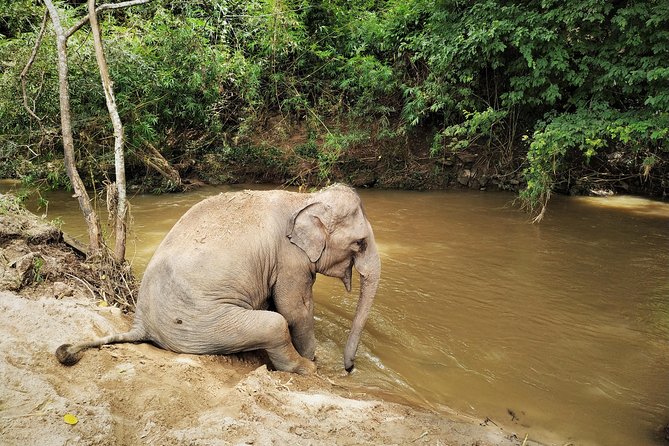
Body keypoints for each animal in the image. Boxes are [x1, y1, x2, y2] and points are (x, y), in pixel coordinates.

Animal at [56, 184, 381, 374]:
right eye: (360, 243)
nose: (349, 368)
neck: (304, 198)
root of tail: (140, 324)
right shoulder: (290, 259)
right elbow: (294, 310)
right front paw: (314, 361)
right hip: (201, 326)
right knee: (273, 325)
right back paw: (303, 370)